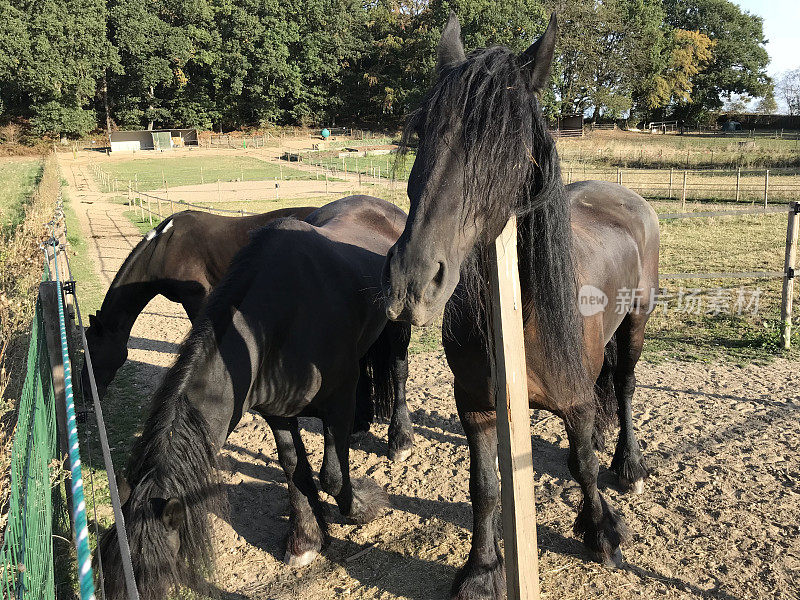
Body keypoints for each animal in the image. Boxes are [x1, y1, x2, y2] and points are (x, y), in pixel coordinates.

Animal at [384, 14, 660, 600]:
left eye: (506, 144)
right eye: (423, 131)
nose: (411, 282)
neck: (520, 316)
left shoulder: (576, 401)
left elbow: (584, 465)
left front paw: (602, 532)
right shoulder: (476, 408)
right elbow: (486, 487)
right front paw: (481, 569)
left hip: (637, 323)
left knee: (624, 387)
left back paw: (628, 463)